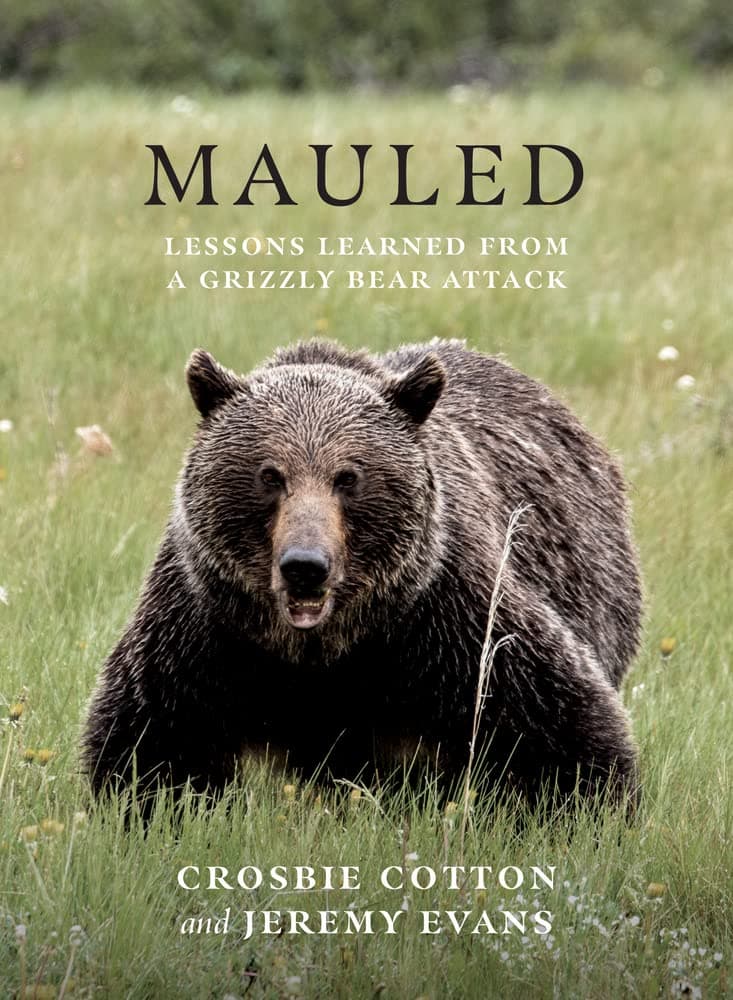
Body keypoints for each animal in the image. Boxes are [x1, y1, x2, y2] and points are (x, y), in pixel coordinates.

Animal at [81, 338, 642, 811]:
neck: (324, 650)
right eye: (270, 475)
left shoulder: (450, 616)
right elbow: (151, 741)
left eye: (348, 477)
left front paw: (589, 808)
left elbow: (560, 724)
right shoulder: (205, 630)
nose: (305, 565)